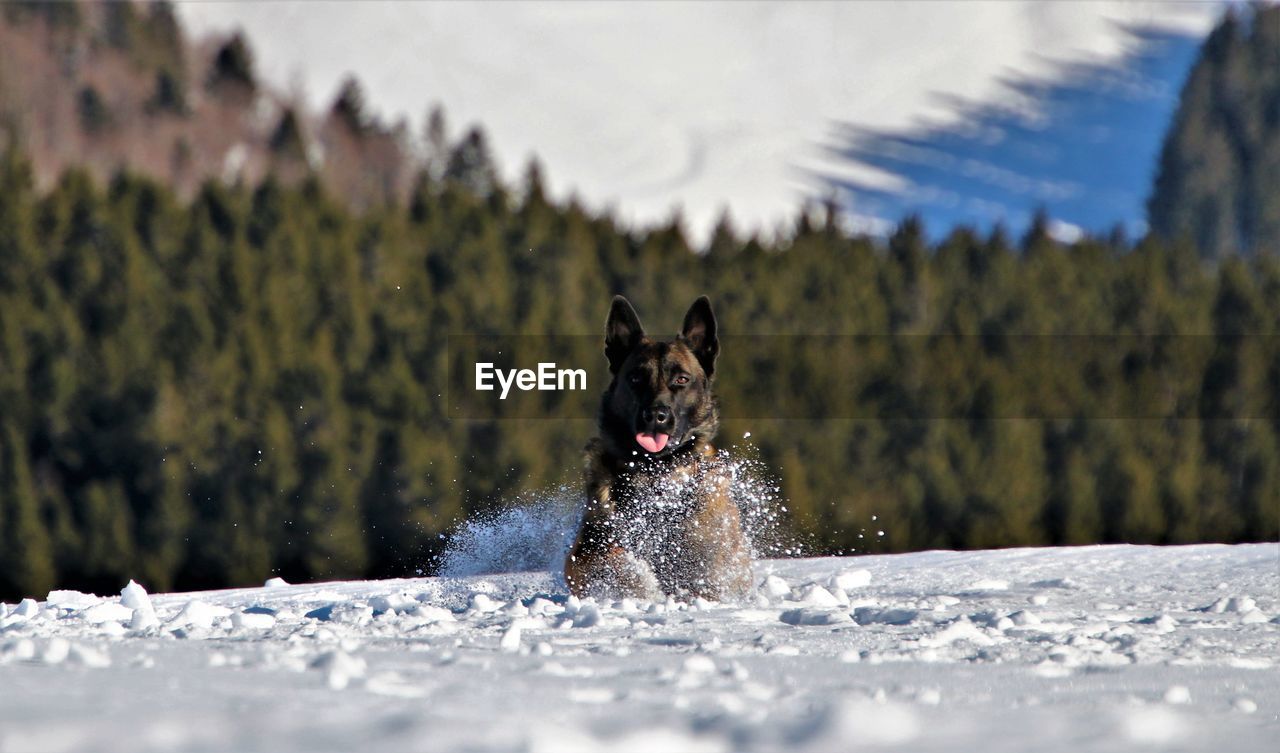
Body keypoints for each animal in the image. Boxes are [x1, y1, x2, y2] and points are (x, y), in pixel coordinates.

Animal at [565, 294, 752, 599]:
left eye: (682, 379)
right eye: (635, 379)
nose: (655, 415)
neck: (655, 473)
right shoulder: (583, 552)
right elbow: (610, 558)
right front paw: (639, 580)